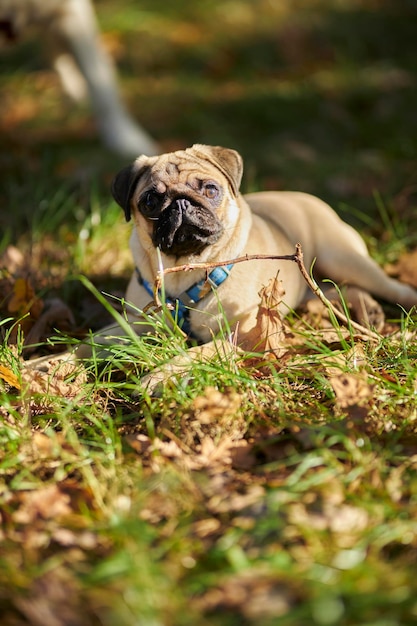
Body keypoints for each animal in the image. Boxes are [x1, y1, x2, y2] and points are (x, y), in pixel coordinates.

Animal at [108, 144, 416, 354]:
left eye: (210, 190)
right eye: (150, 201)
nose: (181, 203)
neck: (184, 268)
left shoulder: (240, 335)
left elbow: (193, 355)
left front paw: (157, 377)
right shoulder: (129, 325)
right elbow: (98, 341)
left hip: (343, 260)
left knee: (390, 287)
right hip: (310, 288)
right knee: (341, 290)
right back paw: (370, 312)